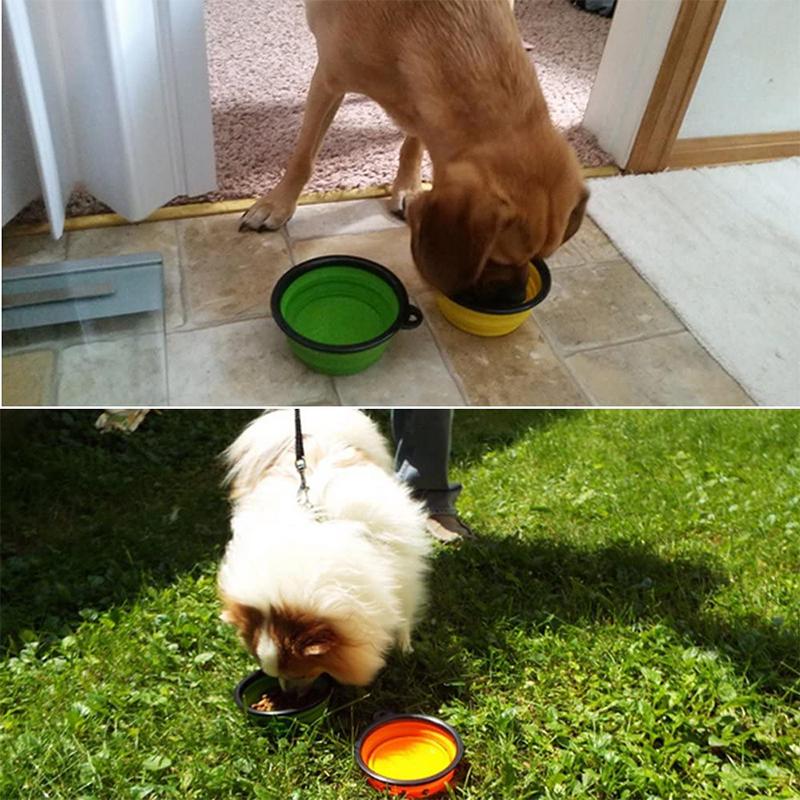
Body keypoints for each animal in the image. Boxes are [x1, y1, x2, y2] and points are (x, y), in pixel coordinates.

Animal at [239, 0, 588, 308]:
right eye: (496, 257)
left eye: (539, 258)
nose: (515, 299)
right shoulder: (328, 81)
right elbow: (303, 157)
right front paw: (276, 204)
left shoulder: (422, 107)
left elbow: (414, 143)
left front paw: (407, 186)